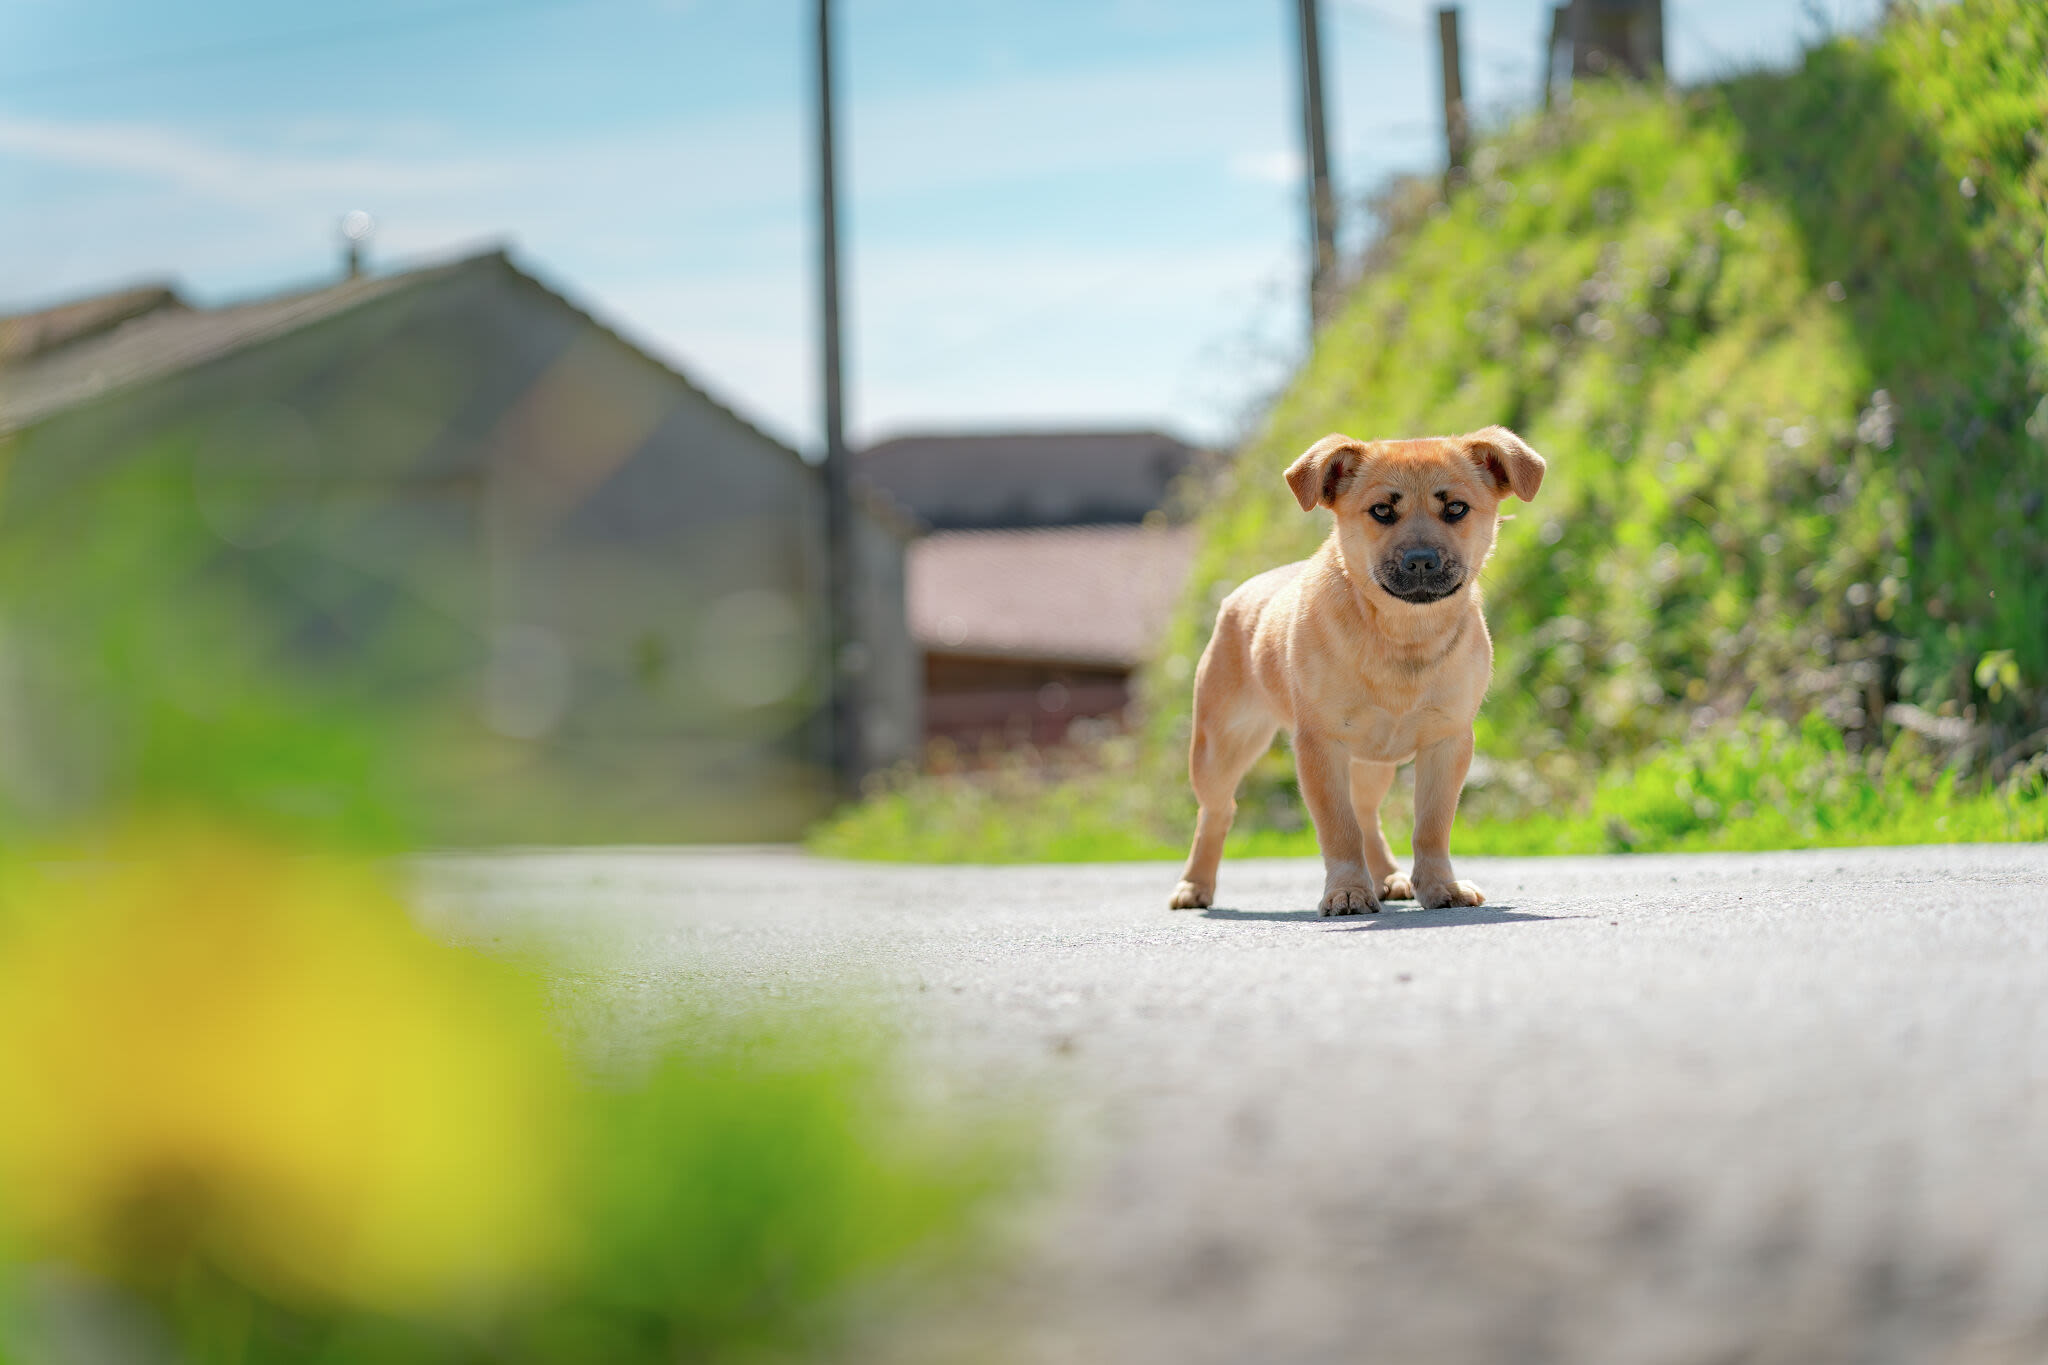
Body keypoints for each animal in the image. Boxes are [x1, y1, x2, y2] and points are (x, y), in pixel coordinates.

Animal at [1171, 427, 1540, 916]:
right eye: (1382, 510)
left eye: (1456, 508)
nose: (1420, 560)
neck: (1401, 634)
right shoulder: (1319, 746)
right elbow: (1338, 828)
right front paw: (1347, 891)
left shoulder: (1449, 741)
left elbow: (1431, 824)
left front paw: (1440, 886)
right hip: (1221, 747)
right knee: (1217, 811)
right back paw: (1194, 885)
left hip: (1372, 761)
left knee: (1367, 814)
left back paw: (1387, 876)